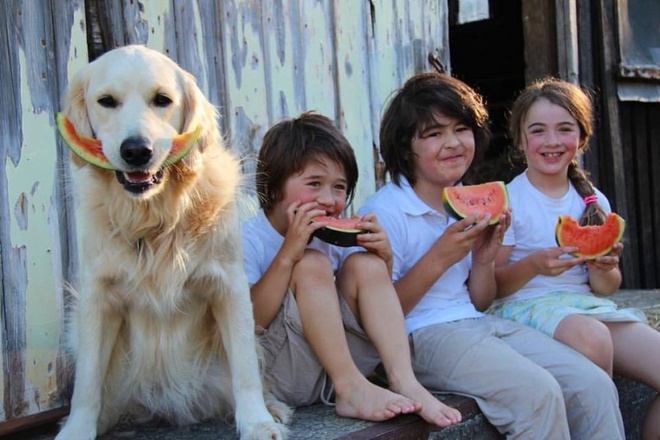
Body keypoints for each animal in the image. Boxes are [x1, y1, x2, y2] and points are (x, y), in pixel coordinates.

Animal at [55, 44, 292, 440]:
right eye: (107, 101)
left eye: (162, 99)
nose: (137, 150)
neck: (154, 218)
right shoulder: (97, 297)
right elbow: (87, 383)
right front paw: (77, 429)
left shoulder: (229, 286)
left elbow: (245, 369)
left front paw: (258, 422)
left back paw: (274, 408)